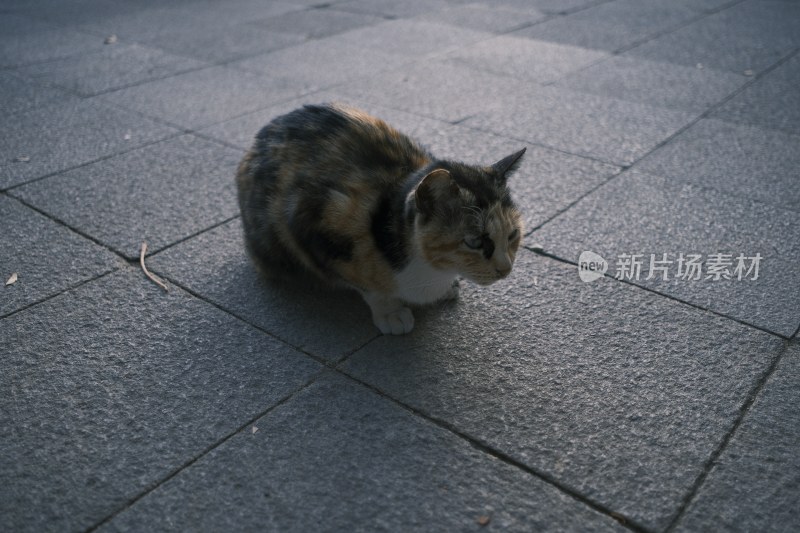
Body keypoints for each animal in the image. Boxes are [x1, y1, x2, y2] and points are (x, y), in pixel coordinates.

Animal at [236, 103, 524, 332]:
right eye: (475, 241)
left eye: (512, 235)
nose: (506, 269)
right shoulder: (315, 223)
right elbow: (368, 286)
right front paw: (390, 312)